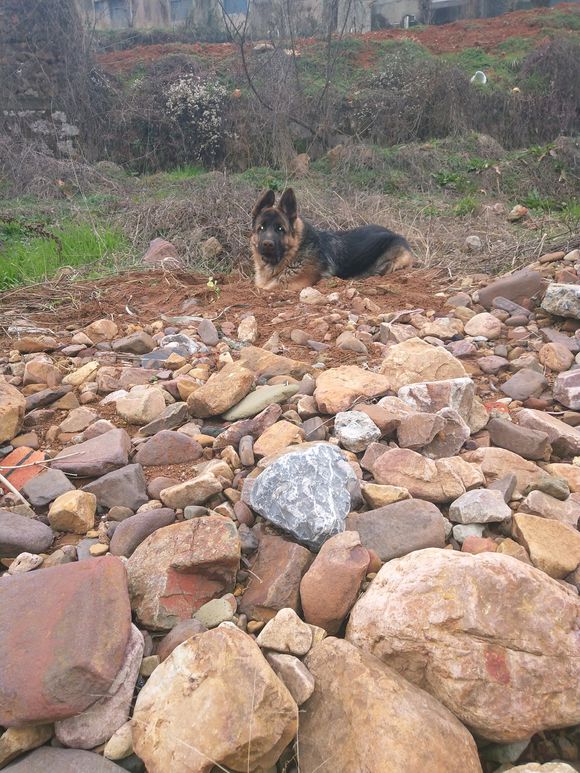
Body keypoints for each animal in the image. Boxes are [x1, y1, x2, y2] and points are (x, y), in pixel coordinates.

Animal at [251, 188, 414, 292]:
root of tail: (397, 235)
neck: (295, 254)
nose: (267, 244)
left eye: (280, 229)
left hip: (388, 262)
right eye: (261, 228)